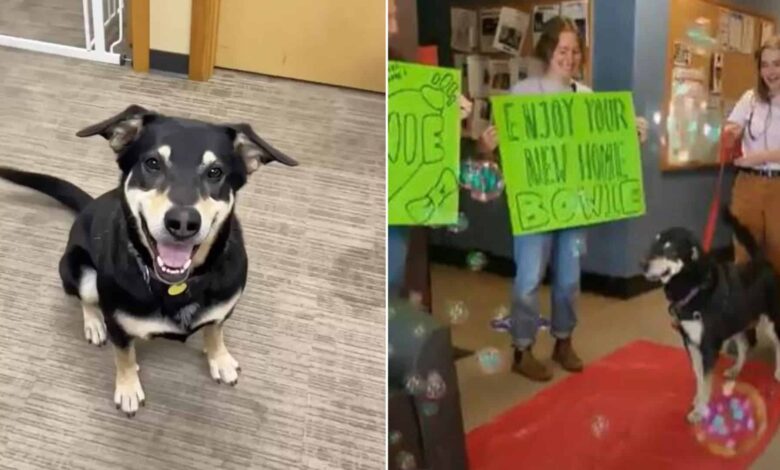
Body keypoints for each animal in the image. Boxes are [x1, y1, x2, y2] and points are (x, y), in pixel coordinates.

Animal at [0, 105, 298, 414]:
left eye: (216, 172)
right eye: (153, 163)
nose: (183, 222)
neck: (178, 284)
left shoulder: (223, 310)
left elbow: (215, 331)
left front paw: (220, 358)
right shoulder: (118, 325)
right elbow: (124, 356)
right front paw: (128, 389)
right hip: (76, 269)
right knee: (86, 299)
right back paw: (93, 324)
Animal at [640, 207, 780, 424]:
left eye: (669, 250)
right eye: (653, 245)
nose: (643, 265)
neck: (692, 287)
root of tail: (761, 261)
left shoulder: (708, 346)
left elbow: (705, 381)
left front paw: (700, 410)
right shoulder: (690, 343)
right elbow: (699, 378)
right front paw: (698, 400)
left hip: (770, 319)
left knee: (778, 342)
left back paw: (779, 371)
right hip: (736, 320)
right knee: (744, 345)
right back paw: (735, 369)